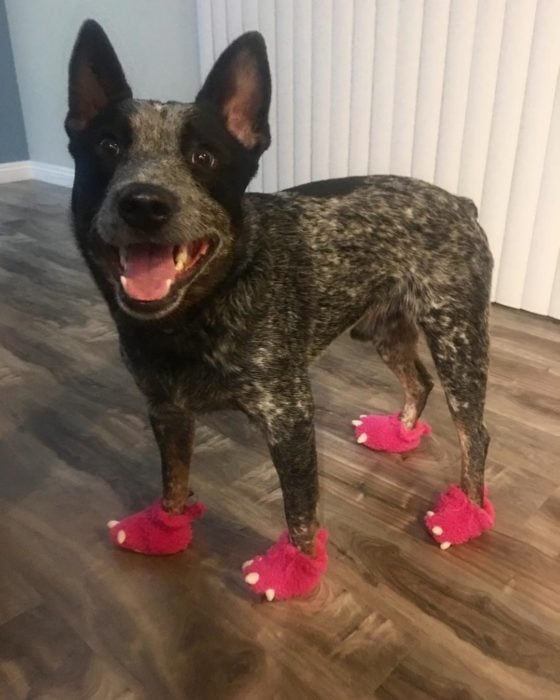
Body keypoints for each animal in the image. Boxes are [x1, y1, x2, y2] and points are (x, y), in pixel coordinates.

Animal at [66, 21, 494, 600]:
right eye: (108, 147)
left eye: (204, 157)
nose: (145, 203)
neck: (197, 315)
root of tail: (459, 202)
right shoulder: (166, 411)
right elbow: (173, 482)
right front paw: (163, 529)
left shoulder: (288, 419)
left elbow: (300, 510)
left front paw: (294, 568)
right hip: (384, 332)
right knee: (419, 382)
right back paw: (398, 434)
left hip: (458, 341)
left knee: (475, 432)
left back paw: (465, 513)